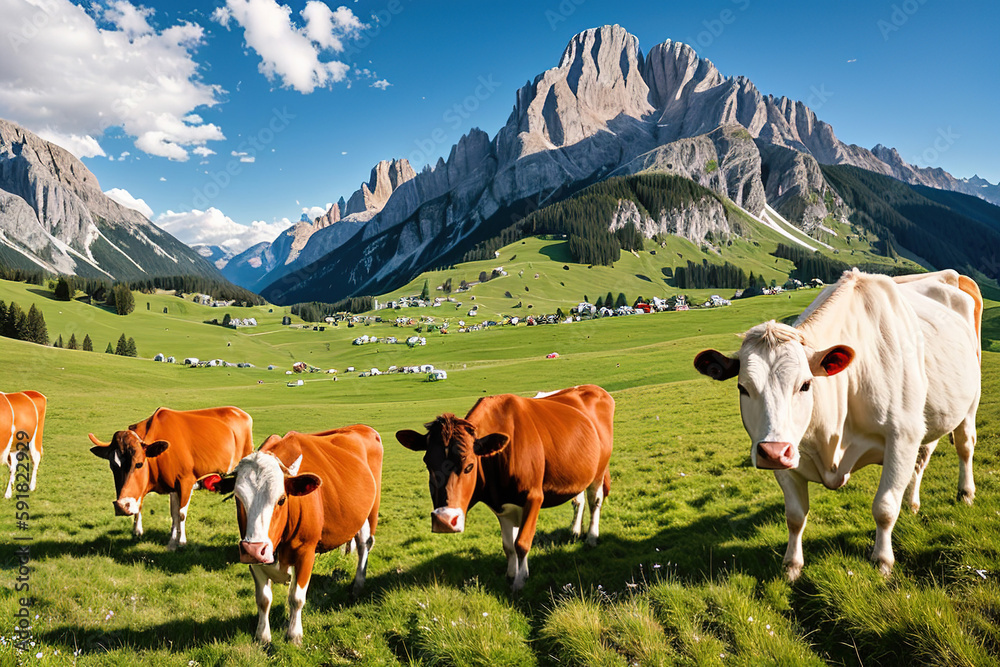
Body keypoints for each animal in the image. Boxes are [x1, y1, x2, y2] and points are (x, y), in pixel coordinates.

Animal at [89, 404, 254, 552]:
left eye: (139, 464)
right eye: (112, 466)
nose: (121, 506)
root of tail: (241, 412)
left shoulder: (186, 482)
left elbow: (181, 514)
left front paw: (182, 541)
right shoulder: (172, 487)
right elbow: (173, 513)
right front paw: (171, 540)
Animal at [201, 428, 380, 648]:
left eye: (281, 499)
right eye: (237, 498)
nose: (254, 549)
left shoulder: (306, 553)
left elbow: (296, 597)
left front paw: (294, 635)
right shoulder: (253, 555)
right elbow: (263, 599)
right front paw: (262, 637)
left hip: (372, 509)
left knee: (365, 544)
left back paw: (358, 585)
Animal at [394, 384, 612, 592]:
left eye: (469, 466)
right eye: (428, 464)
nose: (444, 521)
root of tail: (592, 388)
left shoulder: (534, 496)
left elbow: (522, 542)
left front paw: (520, 581)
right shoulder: (501, 504)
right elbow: (508, 545)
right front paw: (511, 574)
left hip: (599, 469)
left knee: (594, 501)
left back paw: (591, 537)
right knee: (578, 499)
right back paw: (574, 531)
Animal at [692, 268, 980, 580]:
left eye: (805, 384)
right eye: (742, 388)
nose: (773, 451)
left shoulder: (902, 436)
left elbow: (884, 507)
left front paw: (882, 561)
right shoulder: (787, 452)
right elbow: (795, 516)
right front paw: (792, 566)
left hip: (969, 403)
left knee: (965, 446)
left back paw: (965, 494)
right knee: (922, 459)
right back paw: (913, 504)